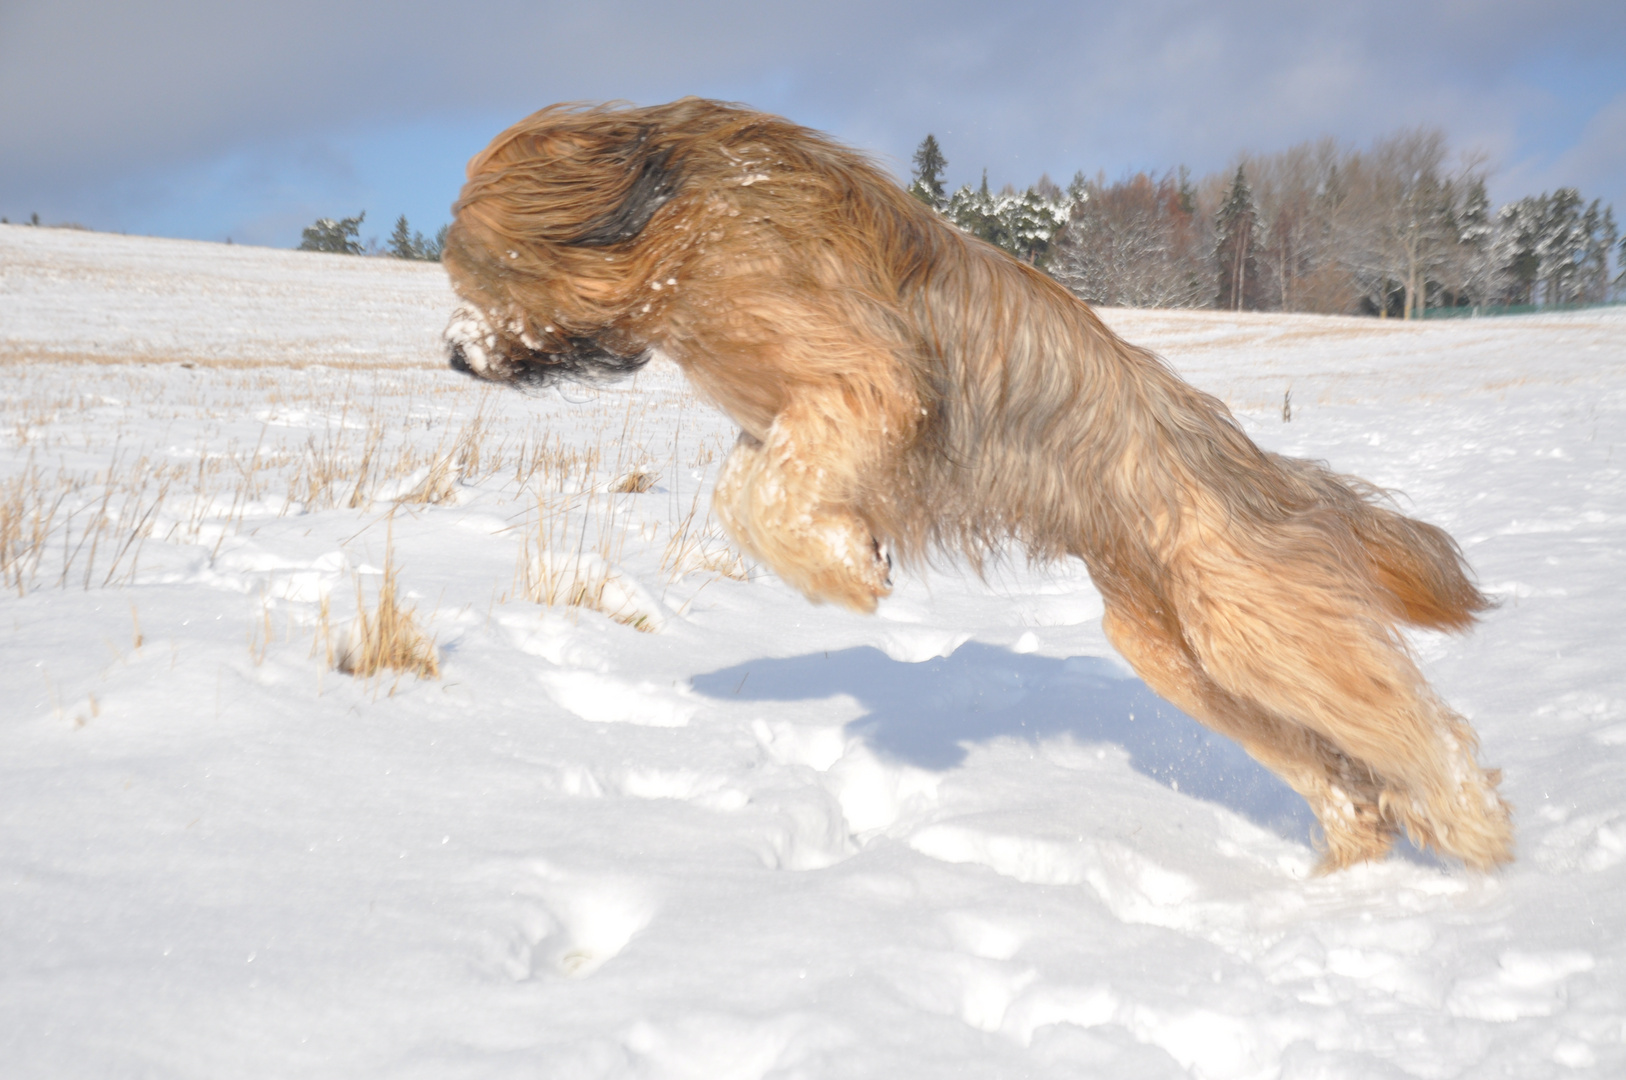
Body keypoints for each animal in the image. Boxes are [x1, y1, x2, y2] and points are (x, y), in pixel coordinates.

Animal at [442, 99, 1508, 878]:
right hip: (1174, 651)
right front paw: (848, 554)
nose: (454, 356)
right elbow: (742, 493)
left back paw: (1474, 830)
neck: (681, 221)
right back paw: (1351, 873)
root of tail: (1270, 474)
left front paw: (847, 573)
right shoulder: (776, 421)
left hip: (1251, 621)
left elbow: (765, 491)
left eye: (488, 268)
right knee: (1338, 769)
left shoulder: (868, 378)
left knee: (1418, 728)